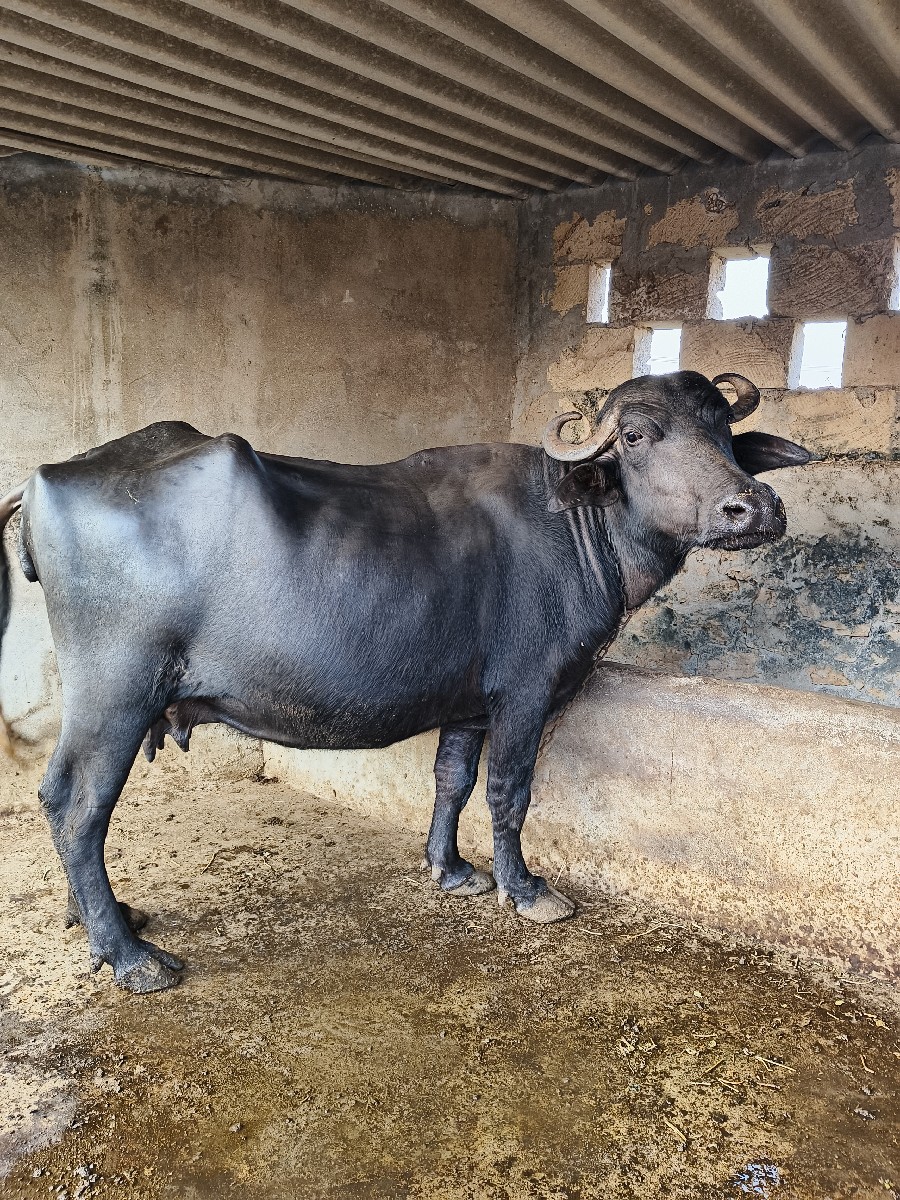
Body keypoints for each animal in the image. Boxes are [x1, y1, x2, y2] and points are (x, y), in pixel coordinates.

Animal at [0, 371, 810, 994]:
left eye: (724, 431)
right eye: (637, 435)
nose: (753, 506)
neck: (579, 523)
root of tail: (47, 477)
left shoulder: (471, 704)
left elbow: (452, 779)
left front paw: (449, 869)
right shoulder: (527, 694)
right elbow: (509, 793)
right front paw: (527, 891)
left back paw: (101, 919)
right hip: (115, 690)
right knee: (76, 803)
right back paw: (129, 956)